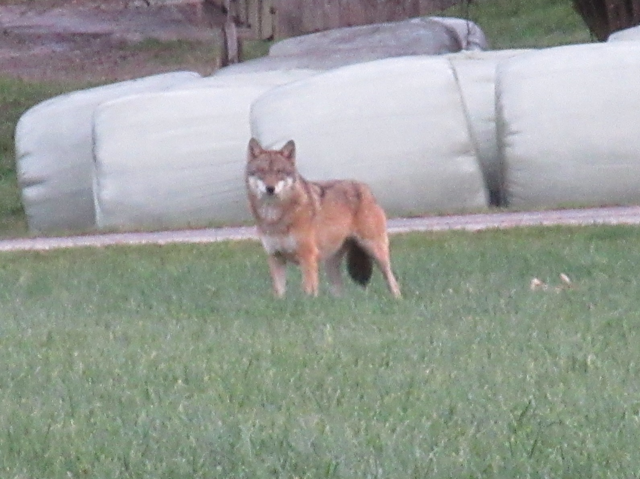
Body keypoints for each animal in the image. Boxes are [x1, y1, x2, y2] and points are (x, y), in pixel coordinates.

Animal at [245, 138, 401, 298]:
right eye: (261, 171)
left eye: (279, 172)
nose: (270, 188)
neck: (274, 217)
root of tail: (366, 188)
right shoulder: (275, 257)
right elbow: (279, 293)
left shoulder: (307, 256)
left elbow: (308, 290)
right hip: (331, 265)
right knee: (339, 292)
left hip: (376, 251)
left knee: (393, 282)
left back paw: (397, 299)